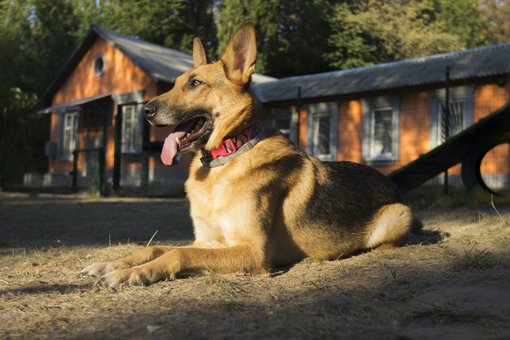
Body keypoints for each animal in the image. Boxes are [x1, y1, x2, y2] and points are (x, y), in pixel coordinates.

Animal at [80, 21, 414, 286]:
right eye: (175, 84)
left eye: (195, 83)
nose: (146, 111)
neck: (225, 159)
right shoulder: (207, 240)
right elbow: (156, 248)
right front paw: (112, 264)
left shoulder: (252, 252)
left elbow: (178, 253)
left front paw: (130, 274)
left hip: (399, 214)